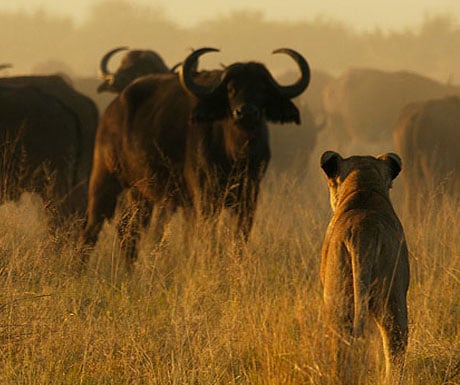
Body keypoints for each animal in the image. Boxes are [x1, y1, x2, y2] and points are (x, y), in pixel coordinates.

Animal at [79, 46, 310, 268]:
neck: (236, 153)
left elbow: (238, 239)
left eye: (262, 89)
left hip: (140, 191)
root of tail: (112, 110)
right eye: (231, 89)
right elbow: (206, 237)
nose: (245, 112)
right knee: (92, 228)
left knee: (128, 230)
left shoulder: (248, 197)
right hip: (104, 178)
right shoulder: (204, 197)